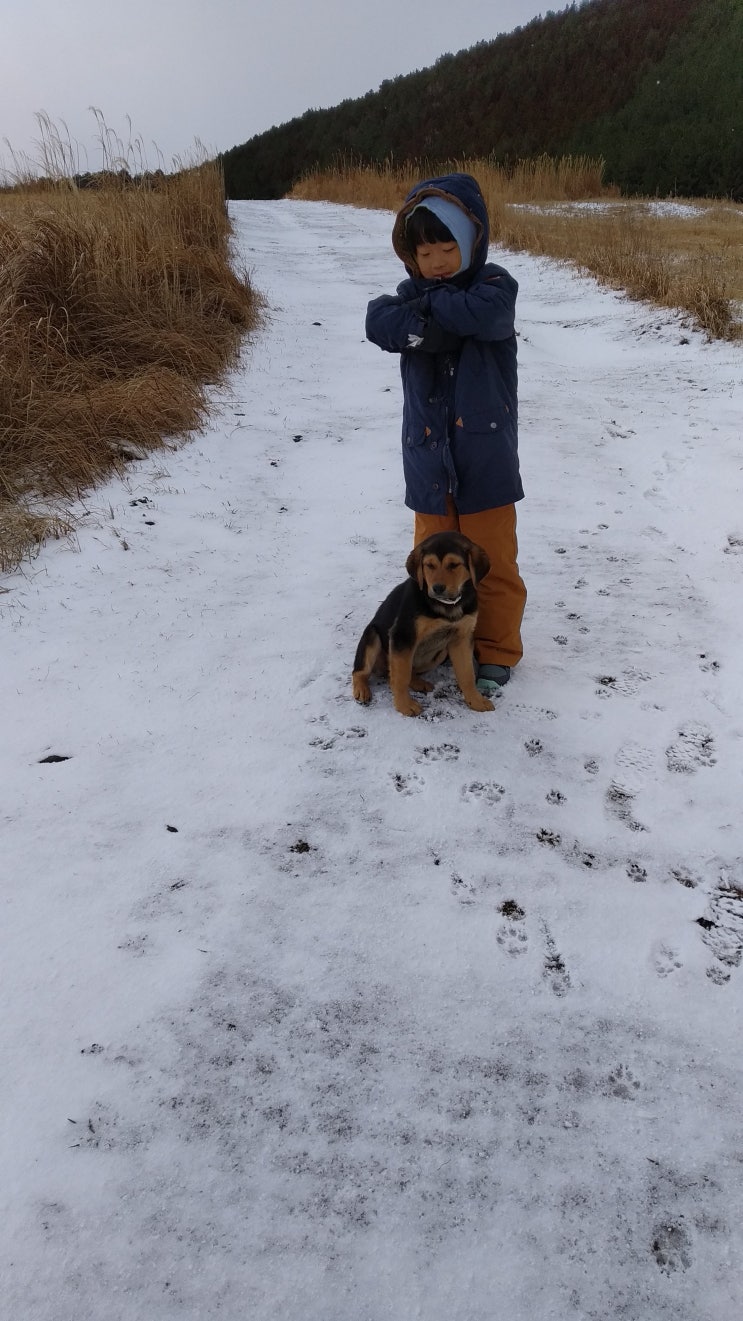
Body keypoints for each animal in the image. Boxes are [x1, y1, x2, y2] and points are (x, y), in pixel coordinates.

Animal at [351, 531, 491, 718]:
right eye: (429, 565)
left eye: (454, 565)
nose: (437, 588)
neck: (446, 606)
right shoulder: (403, 635)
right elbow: (401, 677)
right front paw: (404, 706)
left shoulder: (462, 637)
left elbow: (467, 674)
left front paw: (475, 700)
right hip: (372, 636)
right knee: (363, 671)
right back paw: (361, 689)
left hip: (439, 654)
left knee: (401, 672)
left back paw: (418, 683)